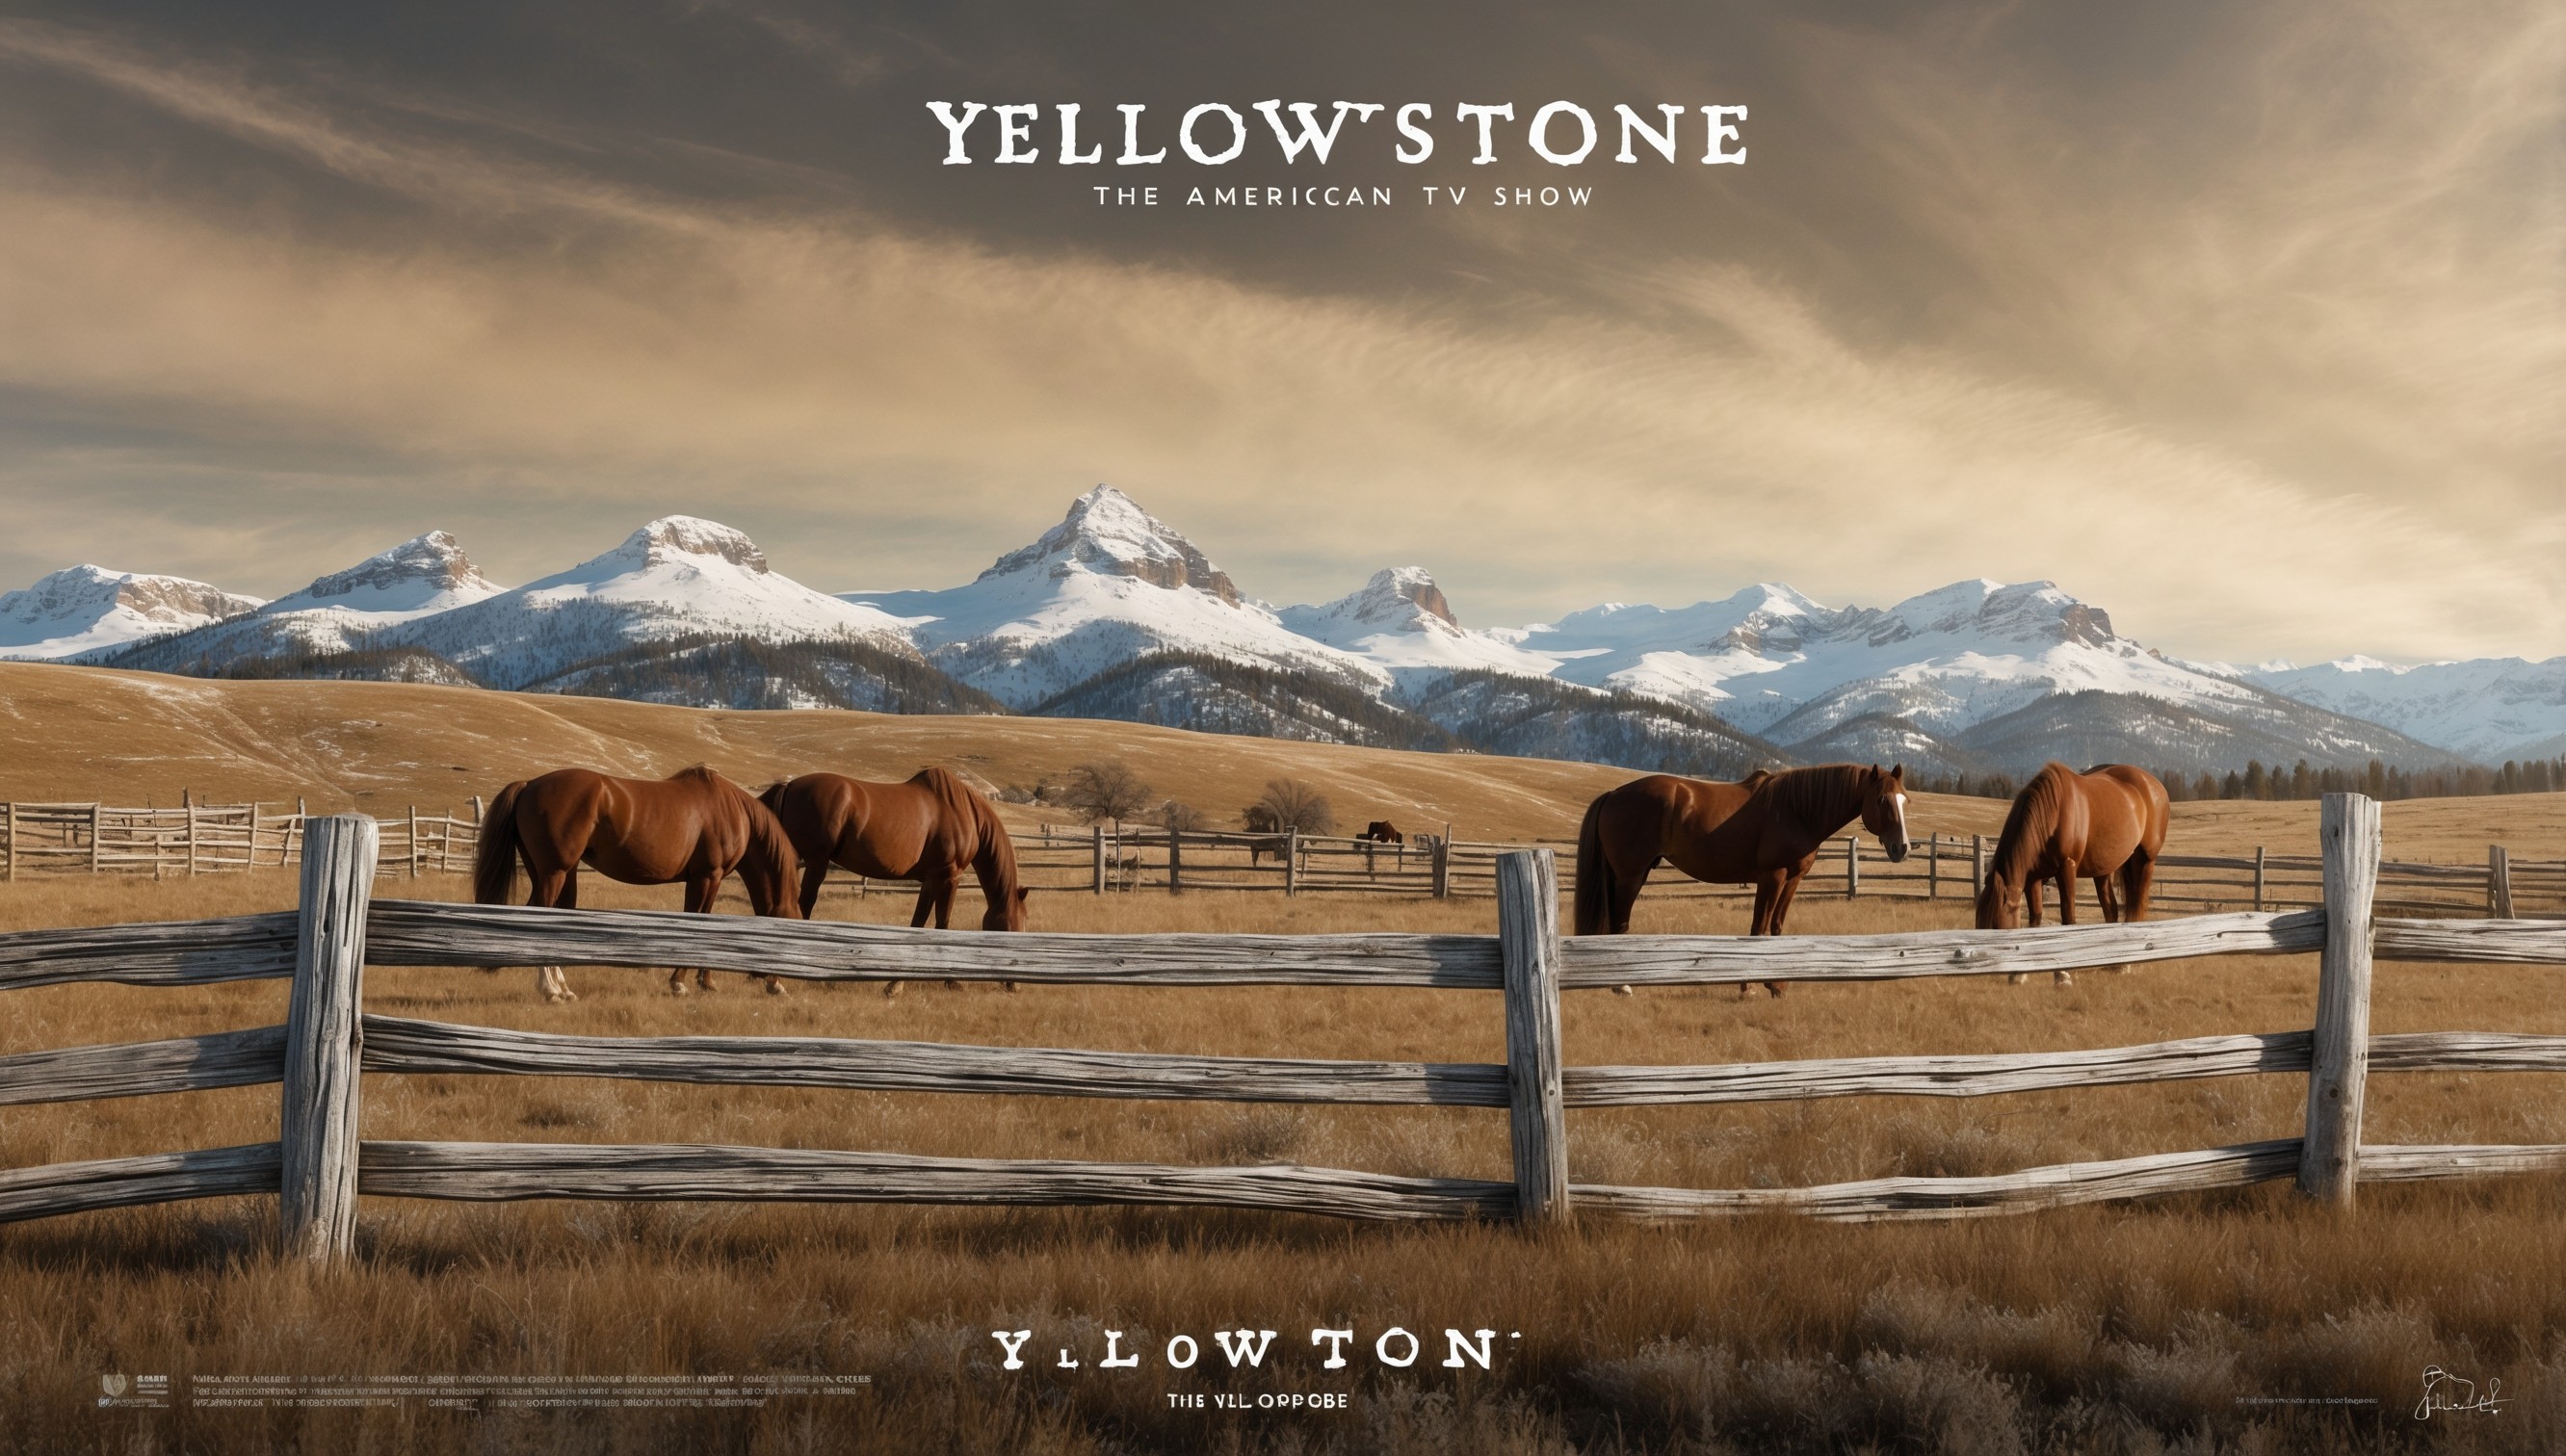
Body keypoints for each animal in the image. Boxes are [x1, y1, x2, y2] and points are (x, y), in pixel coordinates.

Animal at [472, 768, 800, 1004]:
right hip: (555, 872)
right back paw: (550, 990)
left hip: (552, 873)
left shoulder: (705, 879)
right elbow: (699, 921)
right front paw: (680, 983)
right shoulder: (709, 876)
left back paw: (563, 988)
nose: (778, 984)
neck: (734, 811)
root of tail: (529, 785)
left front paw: (704, 982)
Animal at [754, 768, 1026, 994]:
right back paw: (778, 978)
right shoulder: (950, 876)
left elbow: (918, 924)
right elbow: (942, 925)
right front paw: (951, 981)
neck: (964, 813)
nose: (1015, 984)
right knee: (801, 907)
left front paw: (896, 984)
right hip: (816, 863)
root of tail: (789, 786)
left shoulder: (931, 879)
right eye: (1018, 922)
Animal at [1570, 768, 1919, 994]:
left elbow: (1776, 928)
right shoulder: (1772, 876)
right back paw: (1622, 986)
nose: (1901, 847)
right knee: (1619, 922)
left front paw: (1777, 985)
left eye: (1905, 800)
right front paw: (1749, 984)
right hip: (1630, 875)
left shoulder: (1793, 879)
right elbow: (1758, 930)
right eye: (1881, 800)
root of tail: (1614, 794)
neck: (1797, 810)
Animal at [1970, 764, 2176, 989]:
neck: (2053, 812)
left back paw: (2126, 965)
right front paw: (2021, 975)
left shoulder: (2066, 869)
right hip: (2104, 869)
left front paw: (2063, 975)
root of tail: (2155, 785)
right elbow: (2035, 920)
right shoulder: (2033, 879)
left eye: (1995, 926)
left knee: (2135, 910)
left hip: (2145, 861)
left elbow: (2068, 918)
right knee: (2111, 909)